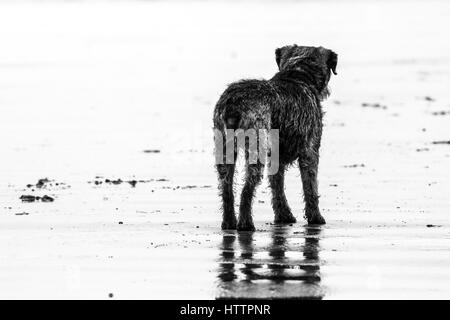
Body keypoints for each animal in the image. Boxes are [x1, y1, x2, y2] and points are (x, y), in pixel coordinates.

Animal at [214, 45, 338, 230]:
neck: (298, 74)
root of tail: (233, 104)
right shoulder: (310, 151)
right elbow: (310, 188)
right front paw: (315, 217)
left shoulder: (276, 156)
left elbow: (277, 186)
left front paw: (283, 215)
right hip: (256, 147)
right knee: (247, 188)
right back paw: (245, 223)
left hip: (224, 149)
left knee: (227, 188)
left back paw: (229, 222)